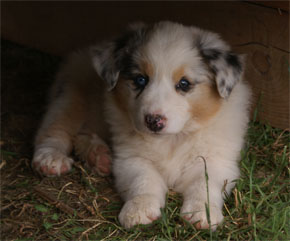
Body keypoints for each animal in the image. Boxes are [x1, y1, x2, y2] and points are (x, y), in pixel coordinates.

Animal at [31, 21, 250, 231]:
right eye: (140, 79)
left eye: (184, 84)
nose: (153, 121)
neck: (172, 140)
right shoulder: (132, 158)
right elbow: (144, 181)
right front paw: (138, 211)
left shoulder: (216, 160)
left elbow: (204, 185)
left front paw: (201, 213)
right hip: (71, 95)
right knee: (55, 128)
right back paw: (51, 158)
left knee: (82, 134)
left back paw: (99, 157)